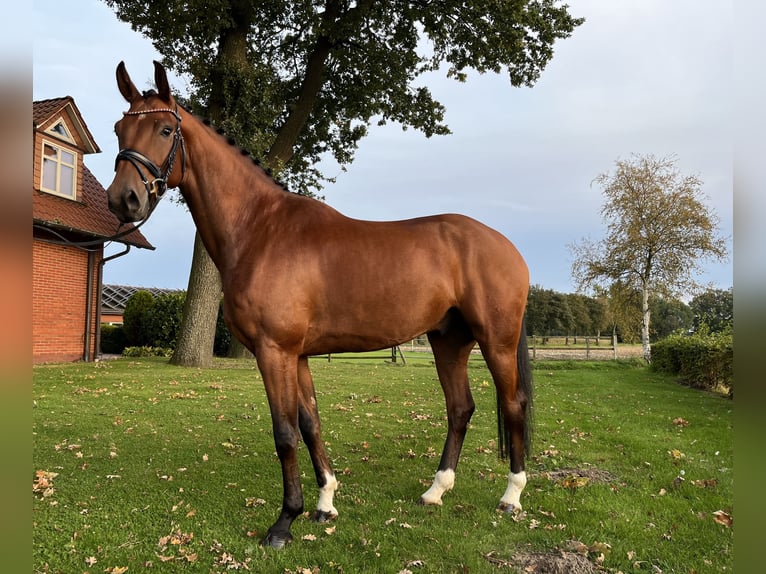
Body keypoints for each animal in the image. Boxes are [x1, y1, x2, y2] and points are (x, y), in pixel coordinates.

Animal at [106, 60, 536, 552]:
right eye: (119, 129)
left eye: (163, 129)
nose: (123, 199)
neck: (260, 229)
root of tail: (506, 246)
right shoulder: (299, 356)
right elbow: (310, 423)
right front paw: (325, 504)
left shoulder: (275, 351)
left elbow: (285, 433)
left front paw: (283, 523)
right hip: (449, 341)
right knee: (460, 408)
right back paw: (435, 491)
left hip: (496, 341)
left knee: (513, 404)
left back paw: (511, 497)